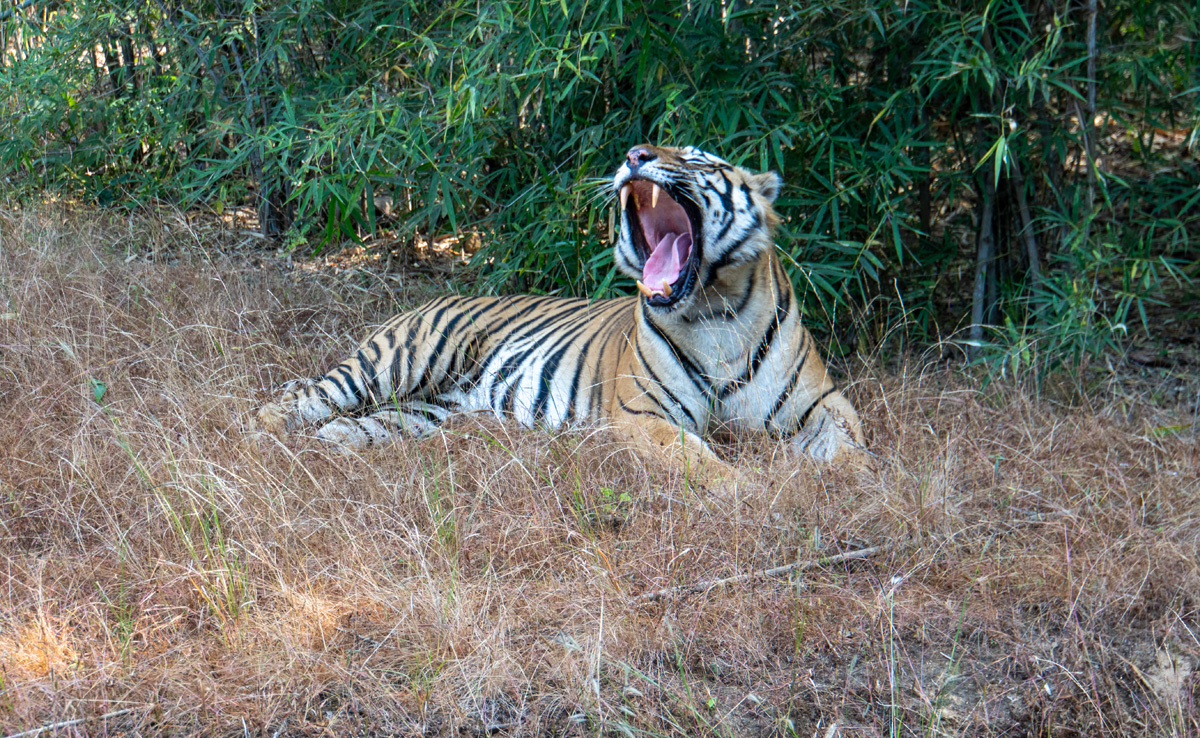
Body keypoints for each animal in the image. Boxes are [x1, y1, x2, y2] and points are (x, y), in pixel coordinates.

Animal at [256, 145, 864, 477]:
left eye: (693, 158)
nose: (635, 155)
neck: (716, 313)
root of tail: (432, 297)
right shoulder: (644, 415)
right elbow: (702, 463)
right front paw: (748, 490)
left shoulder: (823, 402)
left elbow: (854, 447)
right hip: (396, 361)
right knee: (296, 401)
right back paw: (264, 440)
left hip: (426, 409)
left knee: (351, 425)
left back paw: (326, 448)